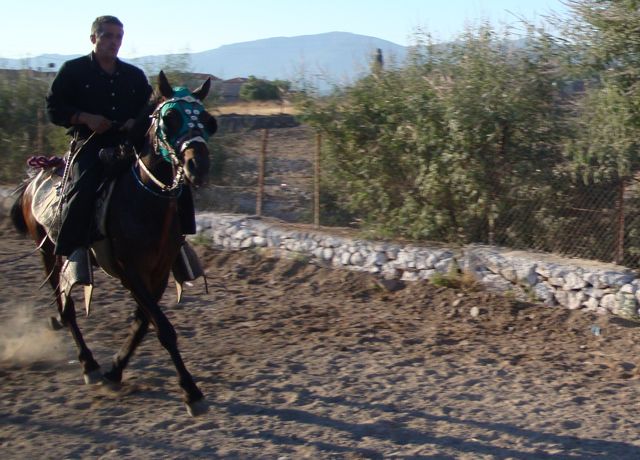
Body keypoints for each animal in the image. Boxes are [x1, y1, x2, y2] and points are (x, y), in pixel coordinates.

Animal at [11, 71, 216, 416]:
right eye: (170, 118)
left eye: (206, 120)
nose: (197, 167)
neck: (145, 201)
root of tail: (33, 178)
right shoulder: (129, 271)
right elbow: (163, 328)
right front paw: (191, 392)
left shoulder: (159, 273)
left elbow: (143, 323)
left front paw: (116, 370)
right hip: (49, 252)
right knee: (67, 309)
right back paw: (88, 364)